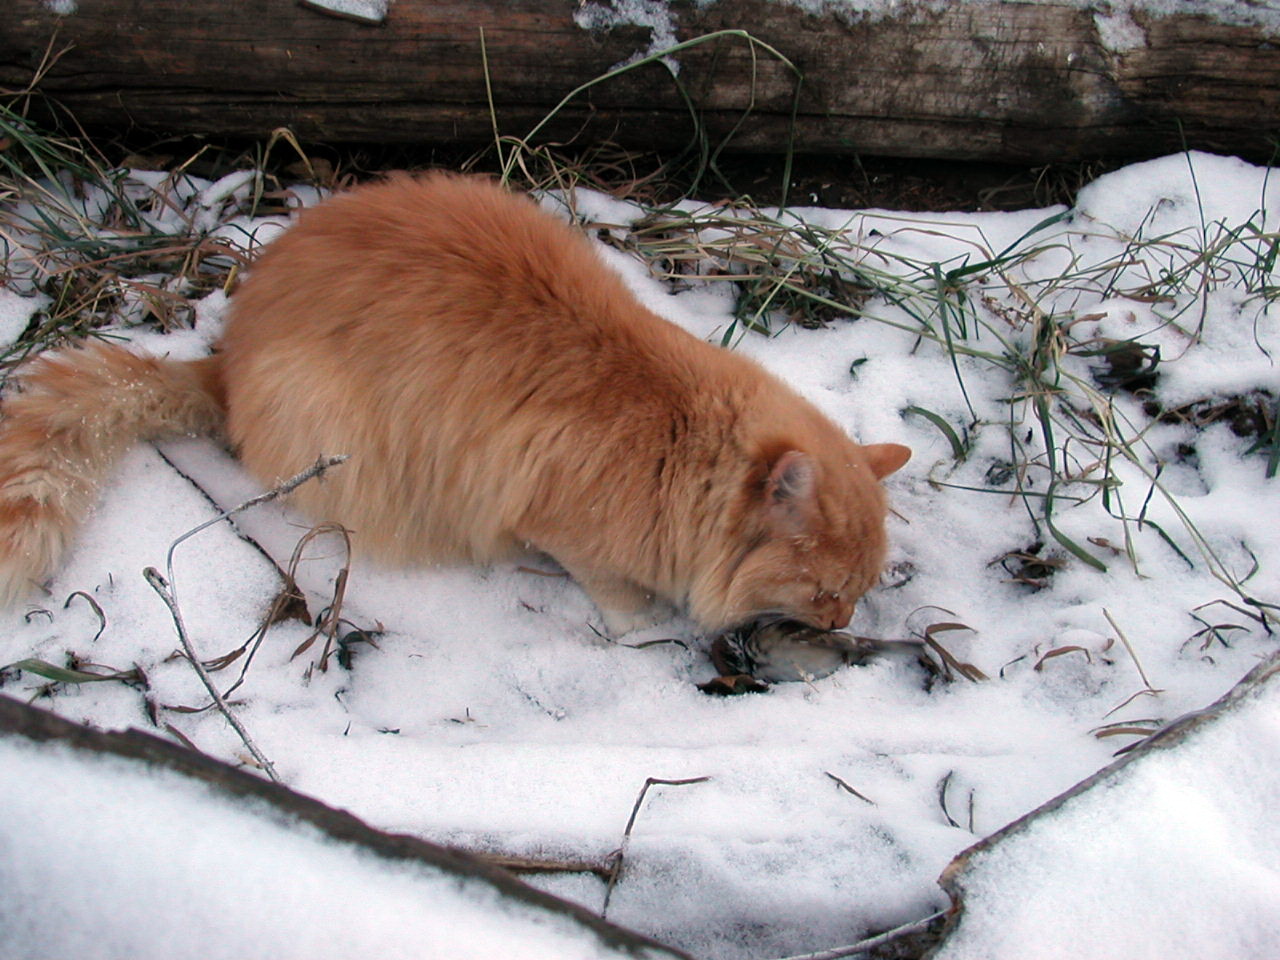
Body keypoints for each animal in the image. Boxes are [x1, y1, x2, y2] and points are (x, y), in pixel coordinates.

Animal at [0, 175, 911, 634]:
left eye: (856, 592)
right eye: (825, 592)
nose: (841, 627)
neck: (678, 436)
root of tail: (227, 357)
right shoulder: (562, 528)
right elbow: (621, 601)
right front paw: (645, 628)